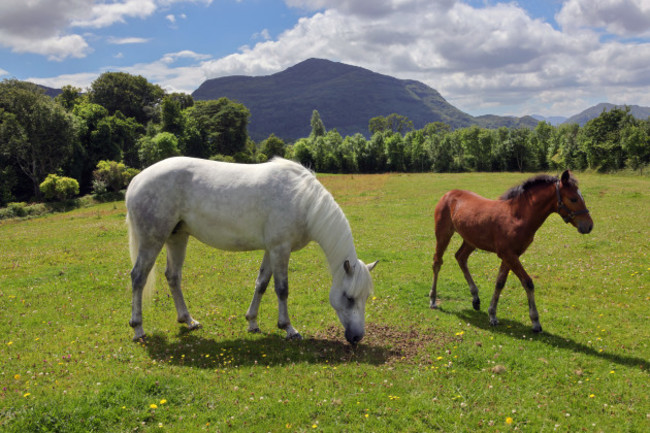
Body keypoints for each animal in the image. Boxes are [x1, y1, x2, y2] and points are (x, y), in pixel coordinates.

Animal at [125, 157, 377, 345]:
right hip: (152, 240)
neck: (303, 201)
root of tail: (137, 180)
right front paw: (288, 328)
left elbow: (262, 284)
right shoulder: (280, 249)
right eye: (349, 297)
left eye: (366, 297)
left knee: (173, 277)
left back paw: (189, 320)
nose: (357, 337)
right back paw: (138, 328)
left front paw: (252, 322)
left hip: (177, 238)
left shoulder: (271, 250)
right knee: (138, 277)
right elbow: (282, 289)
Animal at [429, 170, 593, 332]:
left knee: (460, 257)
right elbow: (528, 282)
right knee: (437, 262)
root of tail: (448, 193)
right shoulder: (508, 254)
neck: (517, 216)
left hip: (470, 240)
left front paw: (492, 315)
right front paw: (535, 321)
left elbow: (500, 283)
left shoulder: (510, 255)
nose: (589, 226)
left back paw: (475, 298)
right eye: (573, 199)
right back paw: (433, 299)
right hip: (443, 234)